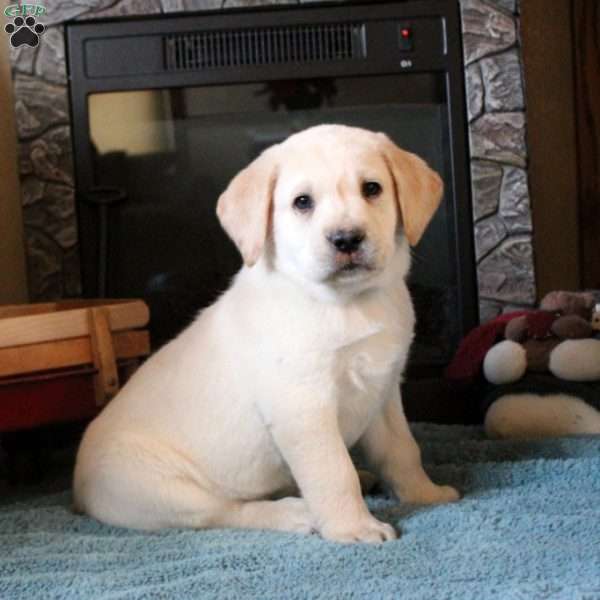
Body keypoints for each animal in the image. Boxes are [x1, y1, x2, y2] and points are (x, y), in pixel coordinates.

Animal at [75, 124, 460, 540]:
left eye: (372, 188)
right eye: (302, 202)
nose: (346, 239)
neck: (344, 302)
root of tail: (77, 490)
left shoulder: (384, 391)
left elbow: (403, 451)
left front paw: (425, 494)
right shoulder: (304, 406)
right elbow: (333, 472)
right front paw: (353, 527)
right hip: (162, 489)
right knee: (227, 511)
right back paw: (295, 513)